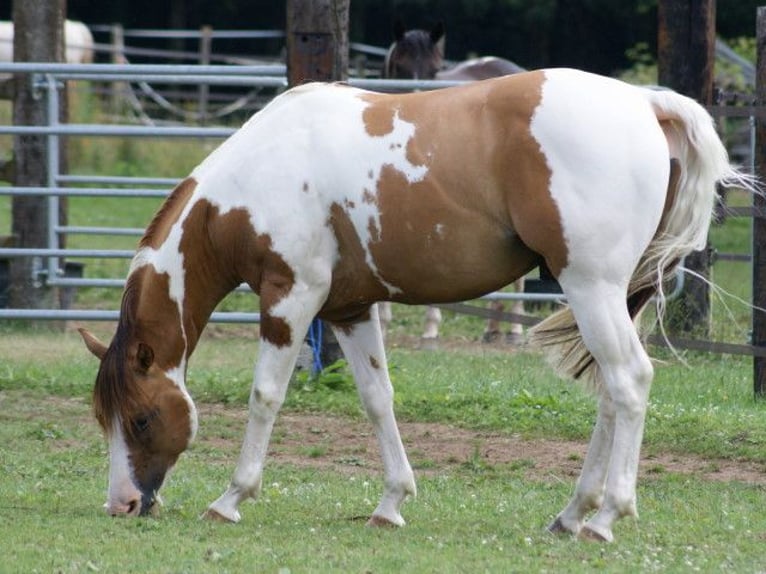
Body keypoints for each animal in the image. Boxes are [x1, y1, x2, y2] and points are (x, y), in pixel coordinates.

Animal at [79, 68, 752, 544]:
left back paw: (606, 516)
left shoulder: (290, 298)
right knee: (611, 394)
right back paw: (571, 514)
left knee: (630, 382)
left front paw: (231, 499)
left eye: (142, 419)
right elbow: (378, 400)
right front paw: (391, 503)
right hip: (606, 295)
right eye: (104, 419)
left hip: (592, 288)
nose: (122, 504)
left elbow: (265, 397)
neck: (256, 178)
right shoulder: (349, 310)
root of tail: (645, 102)